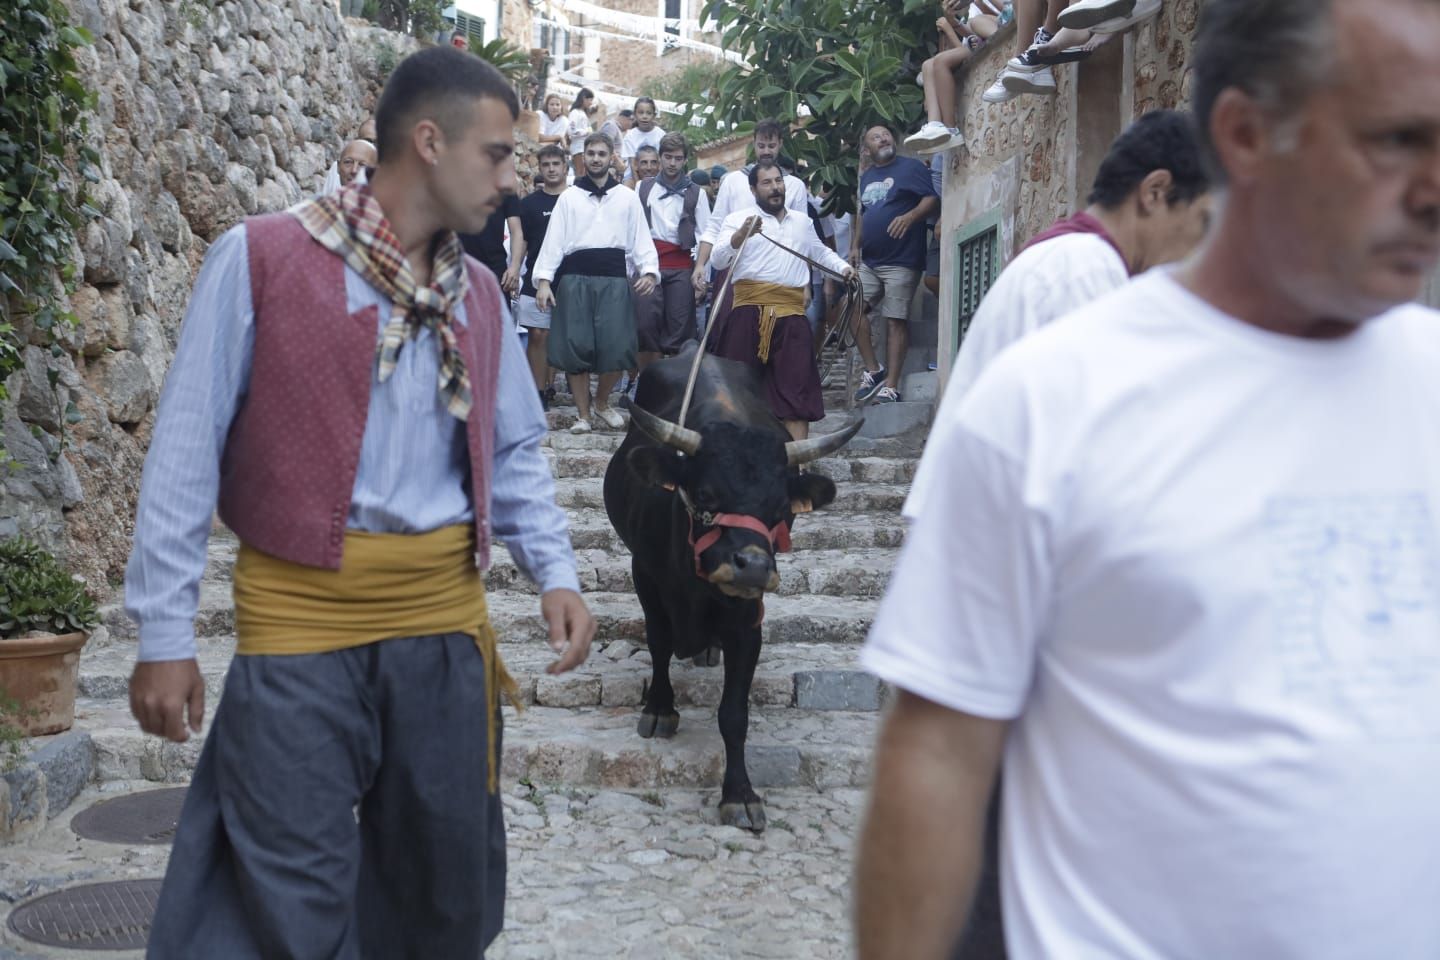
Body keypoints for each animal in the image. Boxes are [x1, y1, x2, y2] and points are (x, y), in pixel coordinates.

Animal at [601, 349, 858, 829]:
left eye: (780, 509)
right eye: (706, 494)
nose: (753, 567)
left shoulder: (748, 619)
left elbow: (734, 714)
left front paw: (739, 794)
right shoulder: (645, 578)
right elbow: (659, 644)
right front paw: (659, 709)